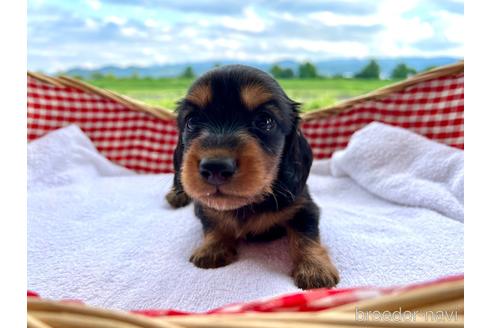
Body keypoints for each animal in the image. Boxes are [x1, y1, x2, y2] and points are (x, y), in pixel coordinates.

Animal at [165, 65, 338, 288]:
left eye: (265, 121)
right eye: (191, 121)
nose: (215, 167)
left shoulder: (303, 206)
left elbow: (306, 235)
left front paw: (315, 268)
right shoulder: (204, 206)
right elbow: (213, 223)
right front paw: (212, 249)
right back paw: (176, 195)